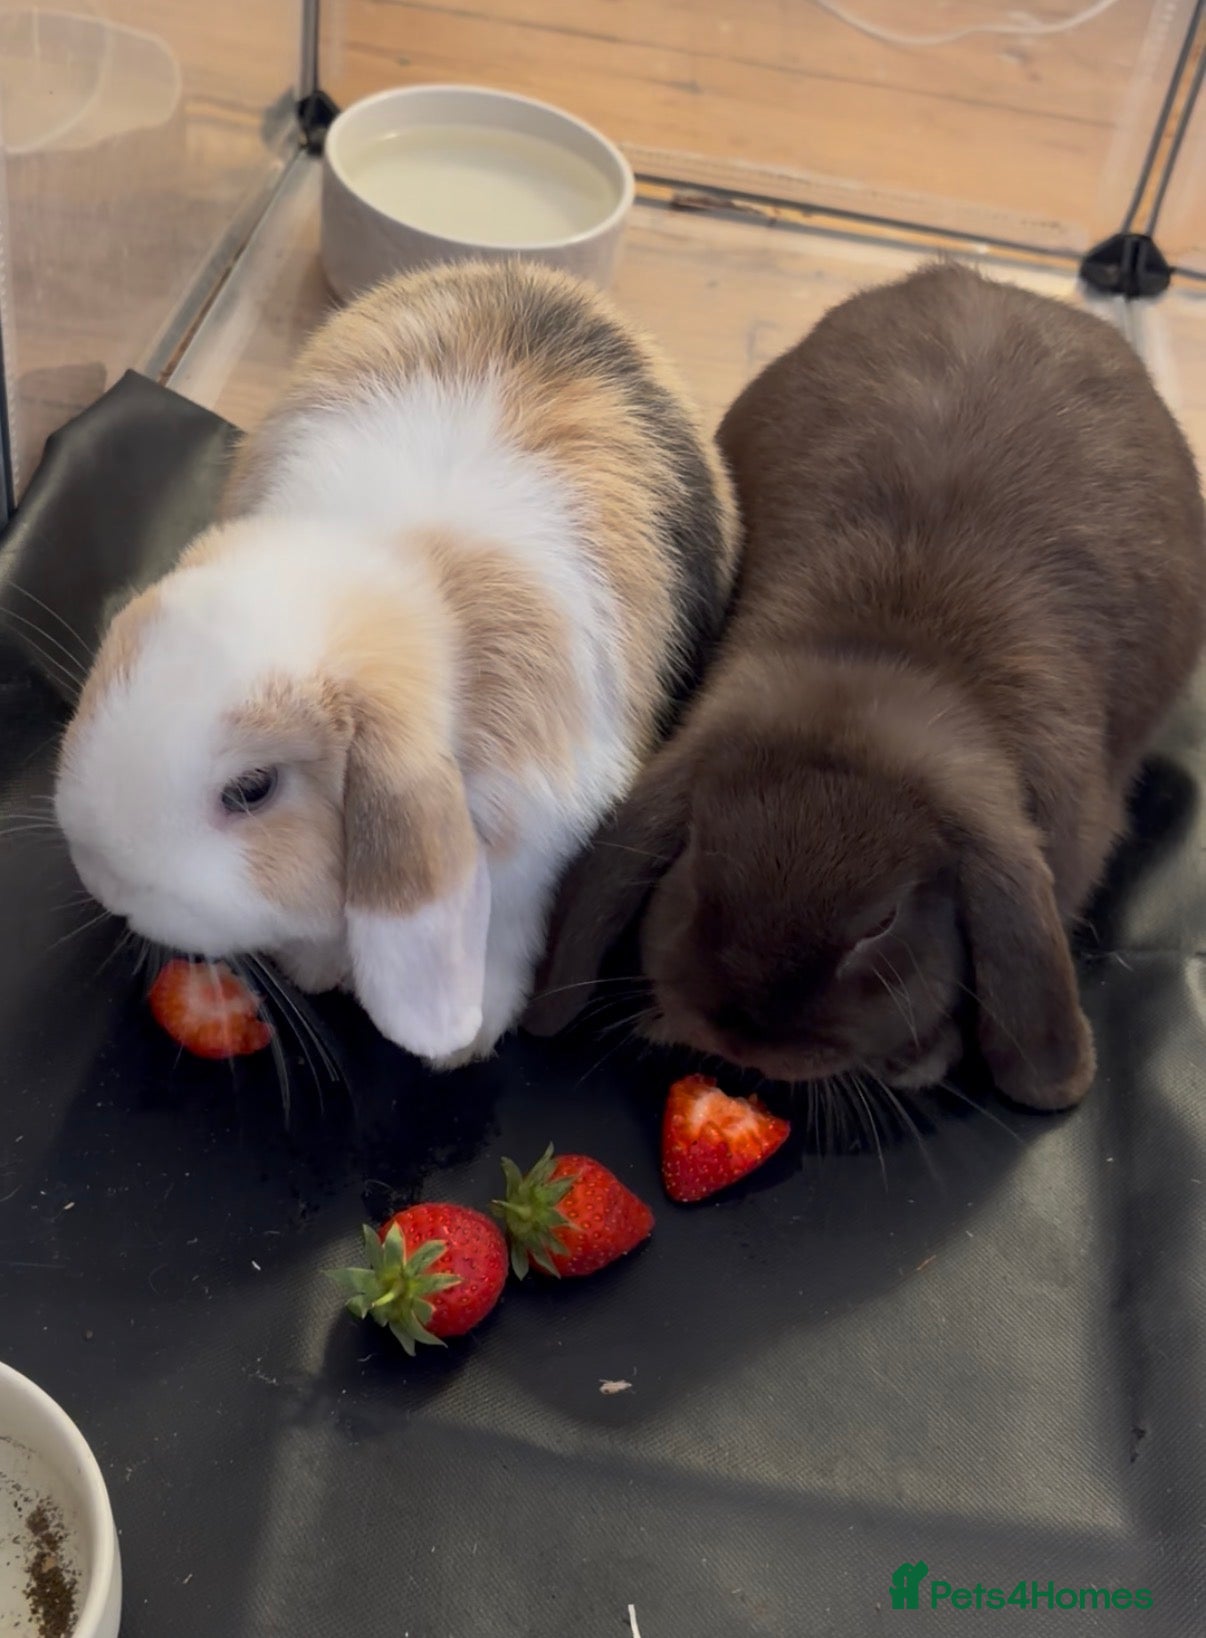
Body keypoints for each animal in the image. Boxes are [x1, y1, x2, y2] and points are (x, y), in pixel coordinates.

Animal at [54, 260, 740, 1065]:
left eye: (253, 790)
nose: (108, 884)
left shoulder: (531, 848)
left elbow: (502, 933)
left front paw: (463, 1046)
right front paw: (316, 971)